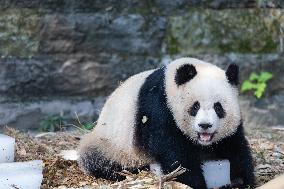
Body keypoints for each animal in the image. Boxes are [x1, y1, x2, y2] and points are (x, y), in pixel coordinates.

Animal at [78, 57, 255, 189]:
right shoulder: (159, 108)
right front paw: (195, 182)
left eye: (218, 107)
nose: (205, 125)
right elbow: (174, 153)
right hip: (112, 143)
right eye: (195, 106)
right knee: (100, 160)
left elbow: (234, 146)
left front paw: (240, 180)